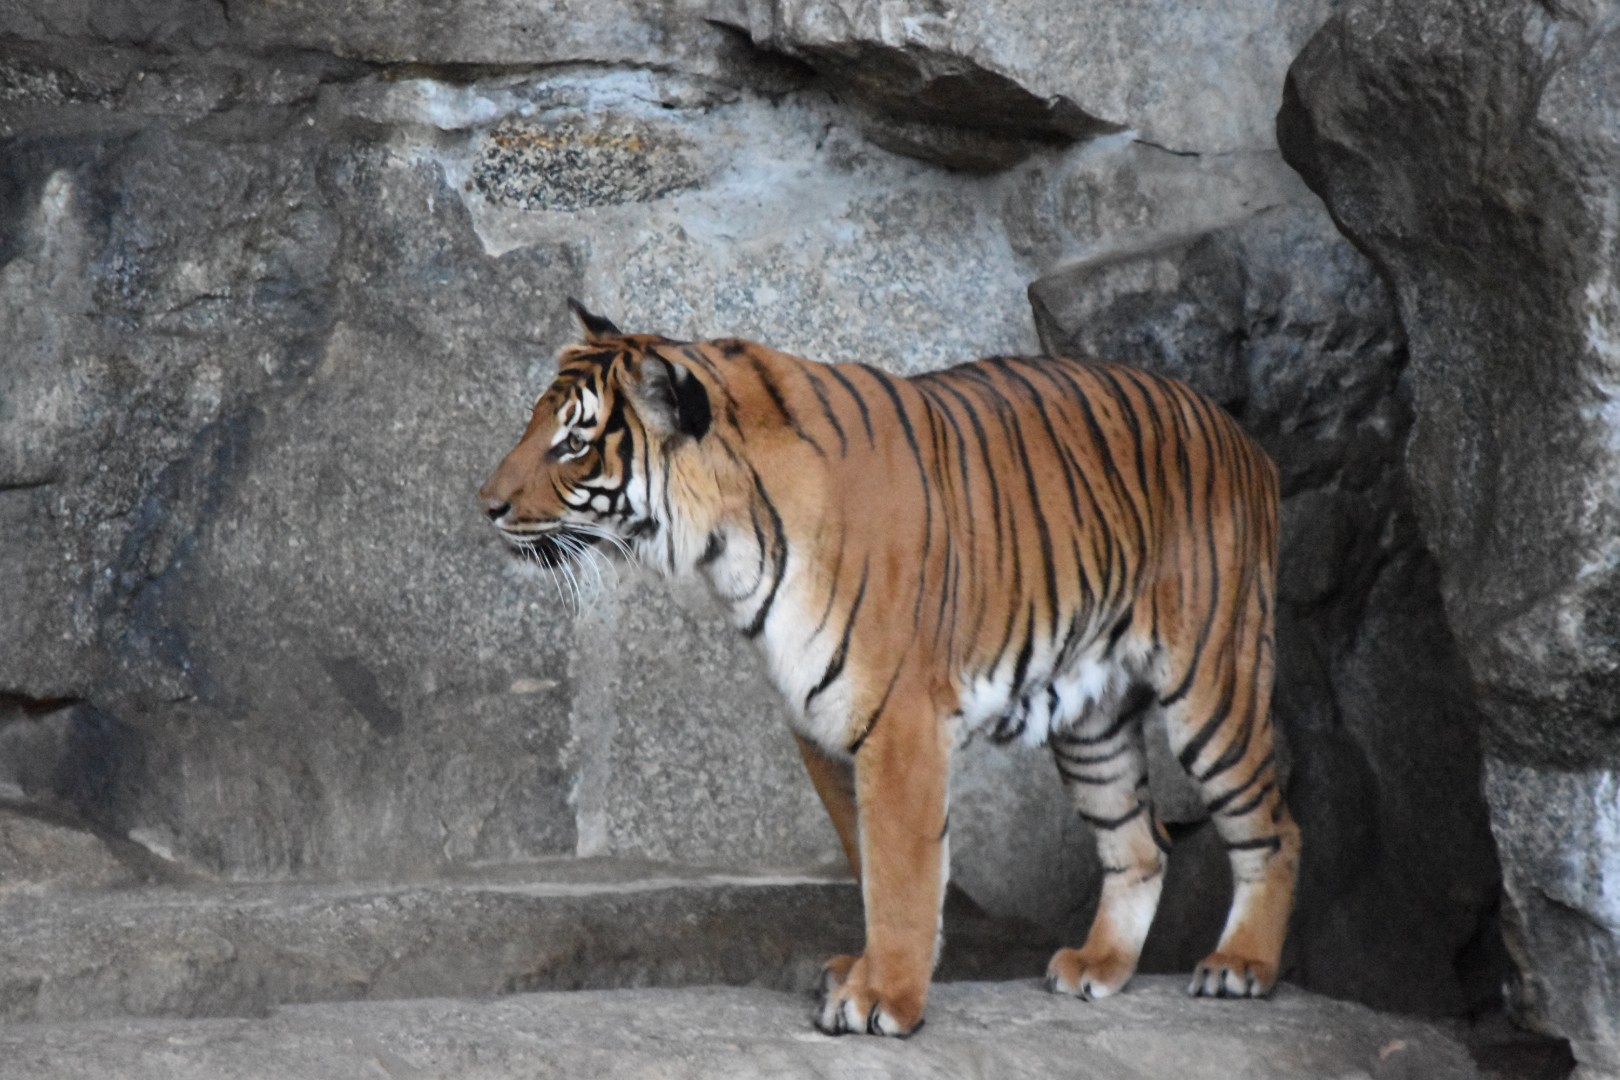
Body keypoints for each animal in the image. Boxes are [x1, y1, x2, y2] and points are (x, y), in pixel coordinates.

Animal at [479, 299, 1300, 1037]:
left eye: (573, 443)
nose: (485, 504)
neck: (727, 543)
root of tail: (1244, 439)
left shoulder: (900, 721)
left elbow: (903, 871)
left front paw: (885, 1001)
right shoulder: (820, 721)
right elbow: (868, 862)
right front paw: (867, 975)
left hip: (1213, 688)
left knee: (1274, 828)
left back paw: (1241, 965)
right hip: (1091, 723)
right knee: (1139, 846)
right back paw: (1099, 965)